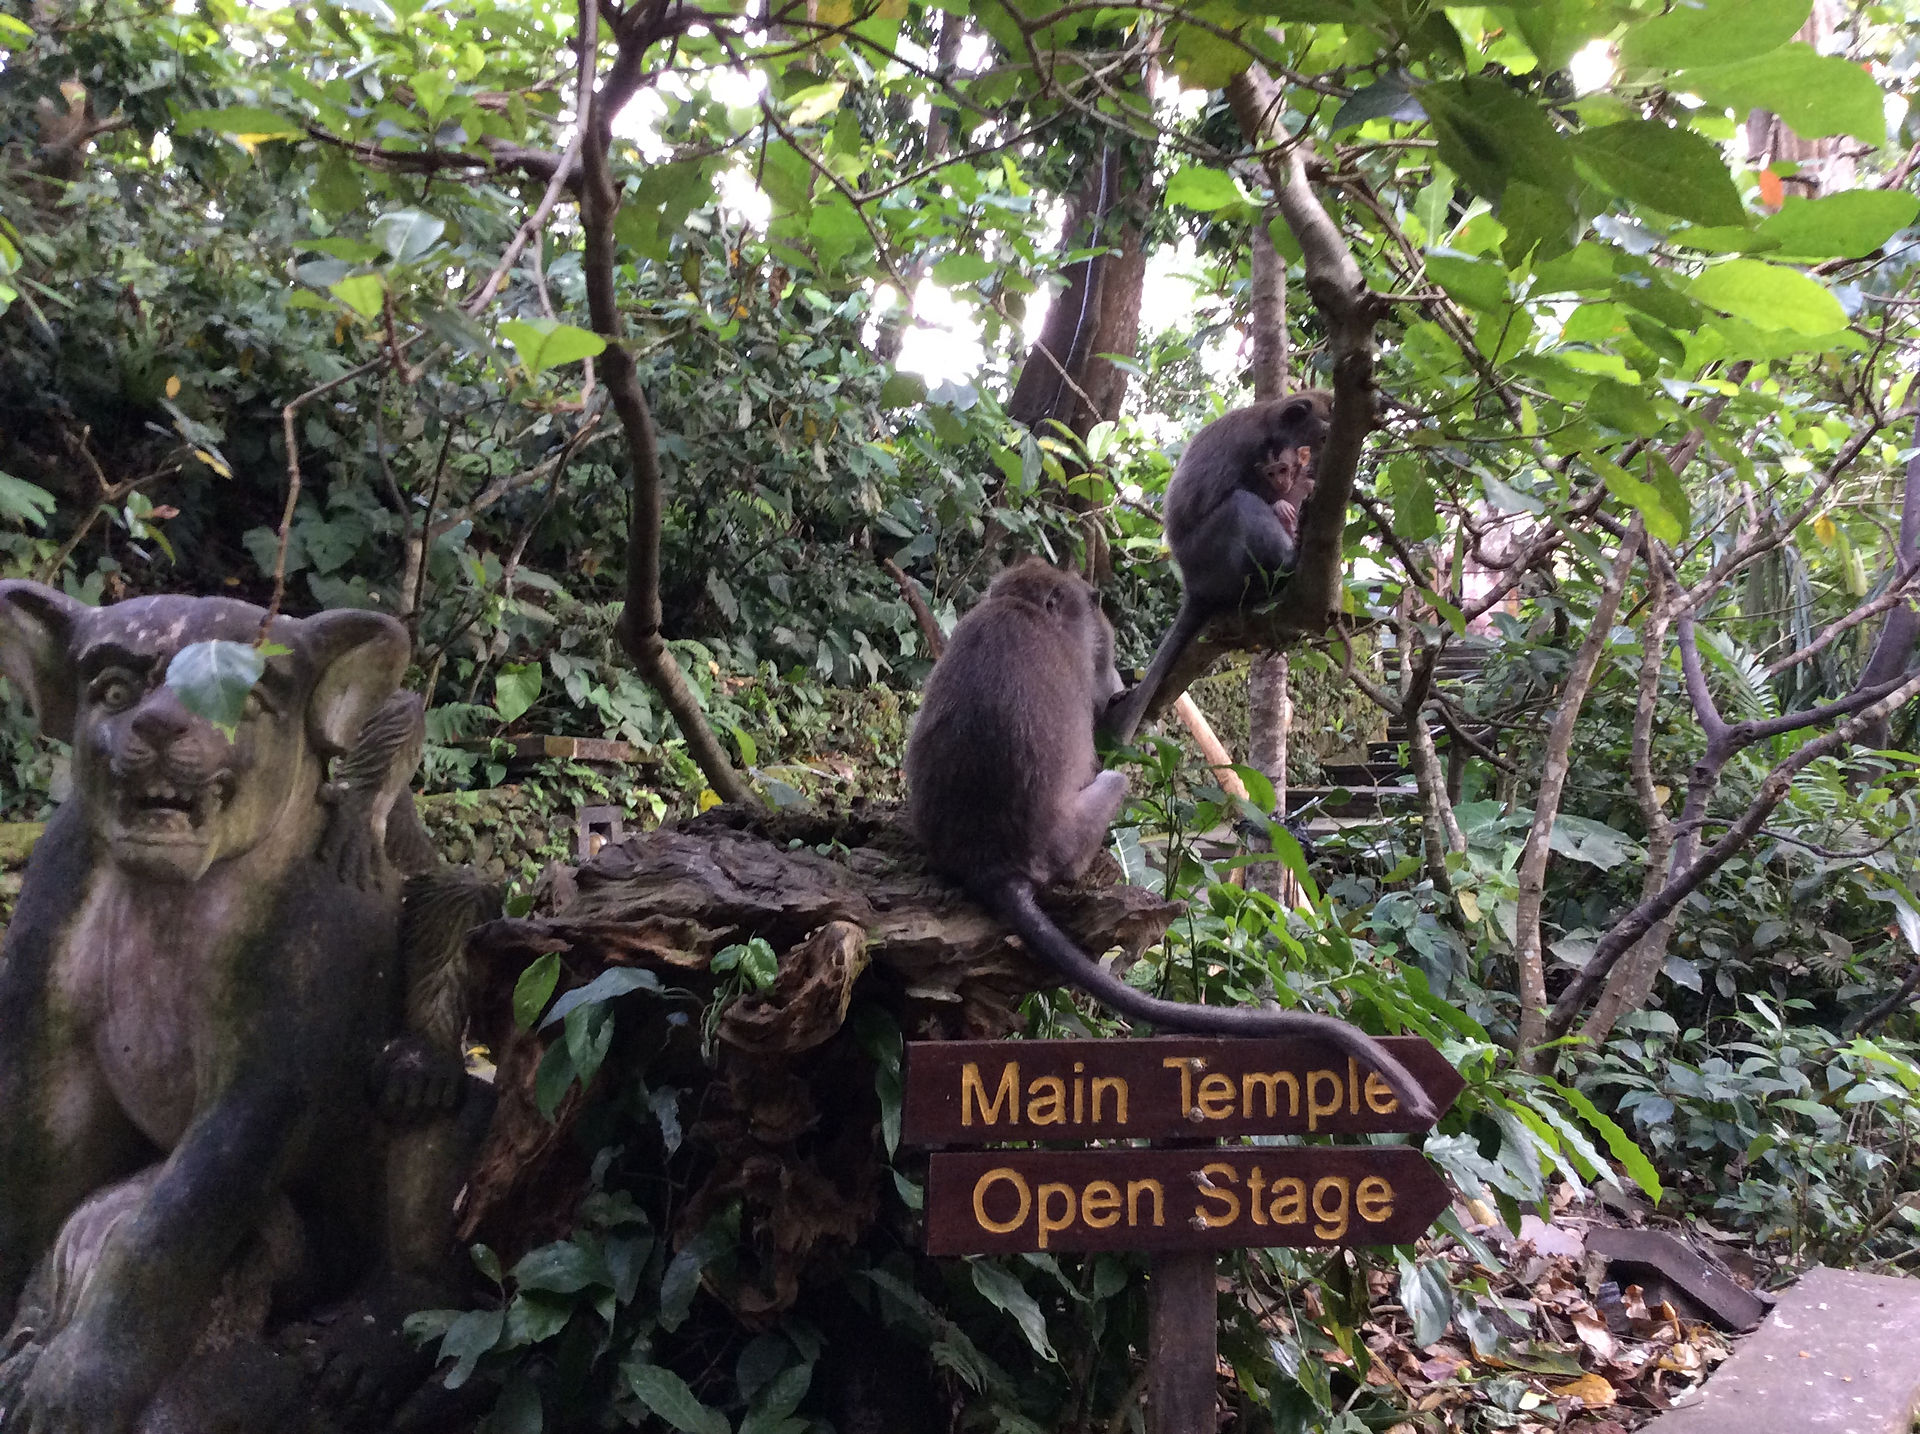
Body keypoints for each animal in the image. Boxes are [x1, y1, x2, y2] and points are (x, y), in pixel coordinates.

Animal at [905, 558, 1436, 1122]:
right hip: (1071, 840)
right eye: (1091, 612)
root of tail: (993, 865)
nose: (1103, 623)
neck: (1020, 606)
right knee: (1114, 779)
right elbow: (1114, 727)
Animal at [1102, 390, 1333, 745]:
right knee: (1241, 504)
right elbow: (1248, 492)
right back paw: (1284, 569)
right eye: (1323, 435)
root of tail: (1192, 586)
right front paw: (1284, 505)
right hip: (1210, 558)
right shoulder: (1255, 451)